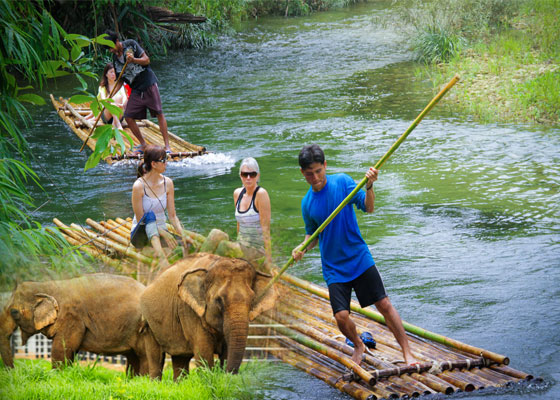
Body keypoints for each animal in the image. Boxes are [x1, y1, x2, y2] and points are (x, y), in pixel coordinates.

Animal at [0, 274, 160, 374]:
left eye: (14, 312)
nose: (15, 372)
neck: (47, 285)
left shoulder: (72, 317)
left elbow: (61, 349)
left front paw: (57, 376)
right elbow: (70, 351)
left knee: (144, 357)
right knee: (133, 357)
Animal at [142, 252, 278, 380]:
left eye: (252, 299)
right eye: (219, 300)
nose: (226, 375)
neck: (211, 265)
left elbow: (227, 351)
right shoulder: (189, 310)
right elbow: (204, 353)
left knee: (180, 359)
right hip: (148, 324)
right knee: (156, 359)